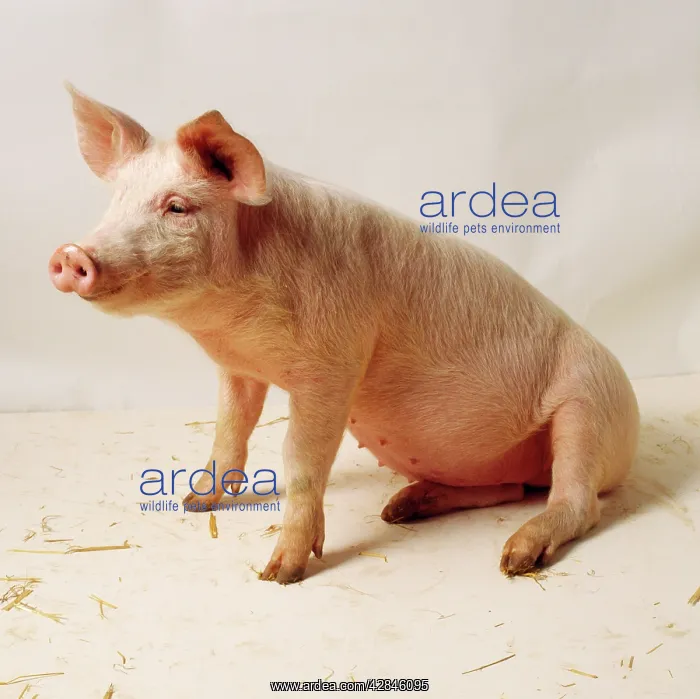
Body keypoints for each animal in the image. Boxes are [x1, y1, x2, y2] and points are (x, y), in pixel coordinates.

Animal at [50, 84, 639, 584]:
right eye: (115, 203)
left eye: (177, 206)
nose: (72, 254)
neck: (235, 322)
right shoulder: (238, 368)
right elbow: (228, 432)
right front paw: (194, 504)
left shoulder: (332, 365)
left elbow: (300, 456)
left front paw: (278, 574)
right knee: (514, 487)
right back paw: (403, 508)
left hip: (588, 406)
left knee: (578, 501)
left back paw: (513, 559)